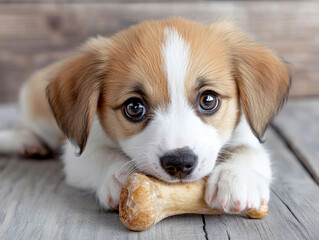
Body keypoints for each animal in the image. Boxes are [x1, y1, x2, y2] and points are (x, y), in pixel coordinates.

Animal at [0, 17, 290, 211]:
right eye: (134, 107)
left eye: (208, 100)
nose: (179, 163)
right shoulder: (78, 155)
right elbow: (102, 155)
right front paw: (119, 176)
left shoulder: (248, 136)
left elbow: (248, 152)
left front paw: (236, 178)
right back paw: (25, 141)